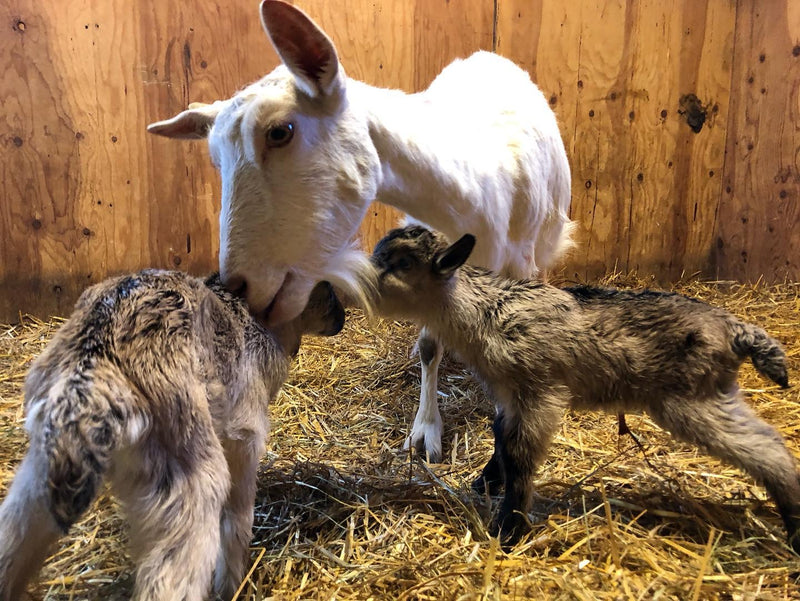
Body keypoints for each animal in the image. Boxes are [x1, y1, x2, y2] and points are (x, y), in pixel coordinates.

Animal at [0, 270, 344, 601]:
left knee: (14, 534)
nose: (341, 318)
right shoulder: (245, 435)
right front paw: (231, 587)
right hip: (187, 475)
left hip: (43, 470)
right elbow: (237, 520)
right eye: (326, 287)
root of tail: (91, 370)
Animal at [147, 0, 574, 462]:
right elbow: (431, 346)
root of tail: (487, 56)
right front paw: (426, 429)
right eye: (214, 157)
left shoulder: (516, 262)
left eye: (280, 131)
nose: (238, 285)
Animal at [370, 225, 800, 552]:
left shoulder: (540, 392)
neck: (486, 312)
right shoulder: (509, 395)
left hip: (694, 398)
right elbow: (500, 441)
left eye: (403, 263)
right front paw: (486, 483)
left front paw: (509, 530)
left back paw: (793, 522)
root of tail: (736, 329)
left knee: (768, 449)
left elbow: (520, 454)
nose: (360, 278)